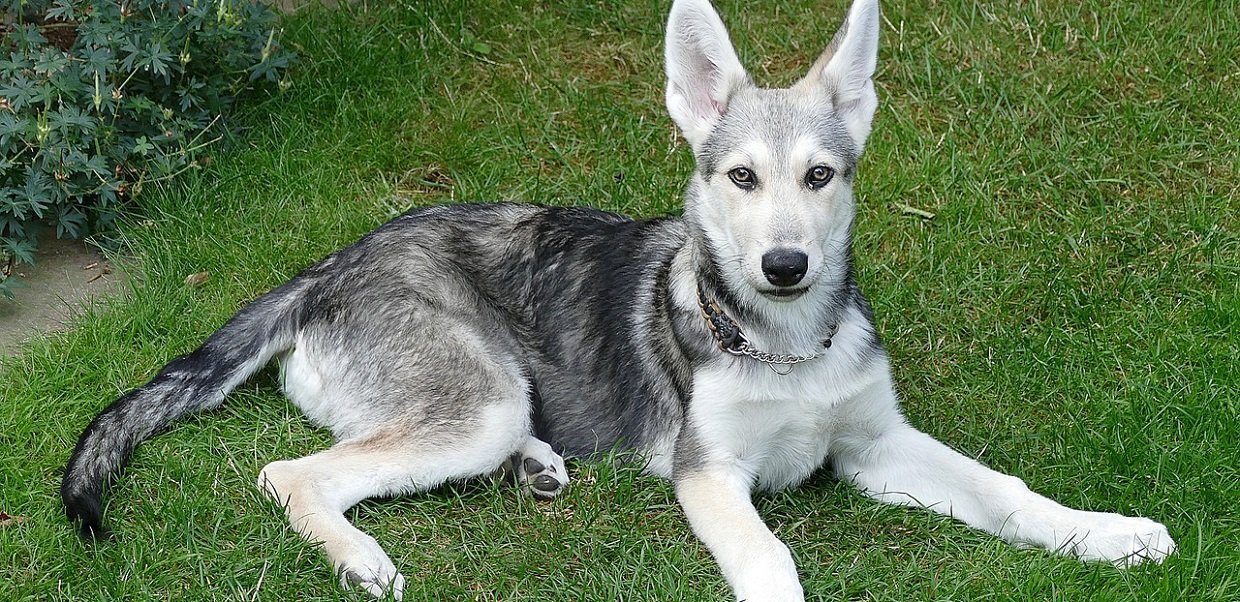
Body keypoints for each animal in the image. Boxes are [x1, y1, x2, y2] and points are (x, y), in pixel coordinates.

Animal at [60, 0, 1170, 598]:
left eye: (819, 177)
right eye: (739, 179)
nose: (785, 266)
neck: (784, 347)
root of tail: (324, 267)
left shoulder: (875, 443)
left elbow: (1007, 493)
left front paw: (1104, 532)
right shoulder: (709, 475)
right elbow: (770, 563)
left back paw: (536, 467)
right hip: (477, 394)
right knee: (290, 472)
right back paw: (360, 556)